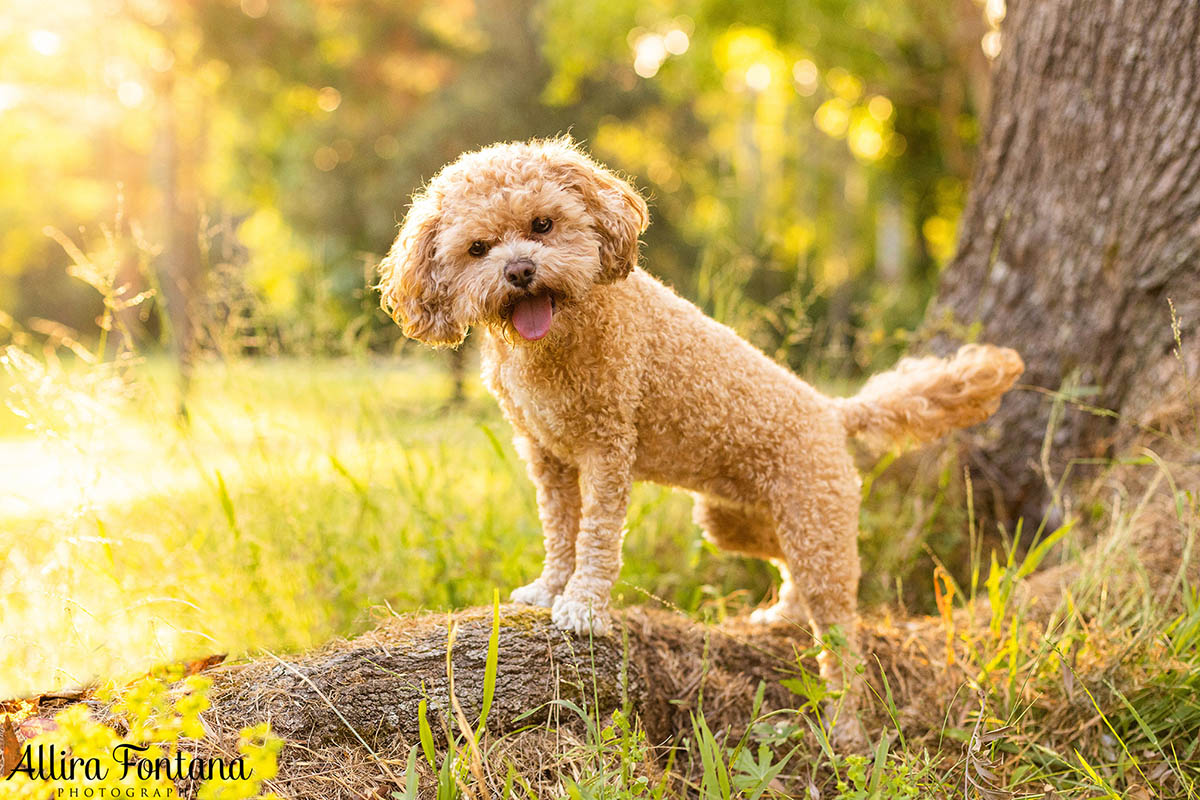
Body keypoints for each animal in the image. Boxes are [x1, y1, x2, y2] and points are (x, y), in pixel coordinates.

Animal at [379, 133, 1027, 719]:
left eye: (543, 224)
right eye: (478, 248)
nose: (519, 270)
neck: (560, 337)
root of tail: (831, 409)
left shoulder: (607, 449)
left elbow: (595, 537)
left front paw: (583, 606)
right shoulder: (546, 454)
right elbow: (560, 530)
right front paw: (547, 588)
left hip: (814, 517)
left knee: (841, 633)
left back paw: (845, 728)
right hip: (738, 519)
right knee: (791, 568)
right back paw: (785, 613)